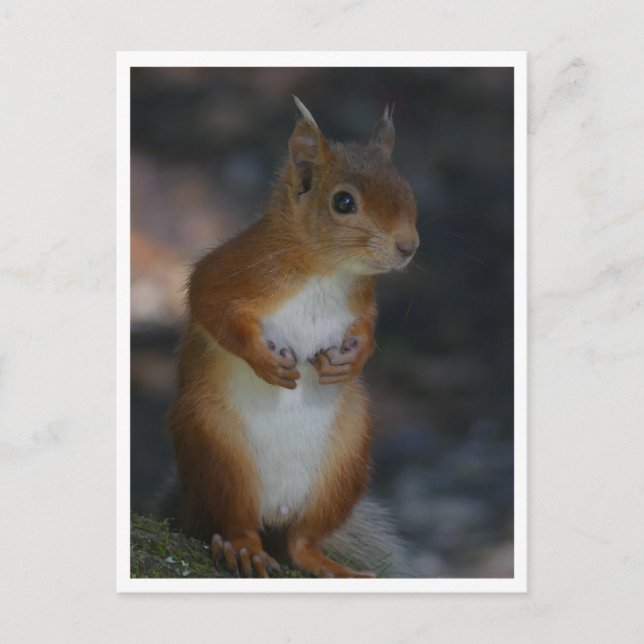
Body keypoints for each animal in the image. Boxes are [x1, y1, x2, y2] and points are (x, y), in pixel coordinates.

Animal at [168, 97, 419, 578]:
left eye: (407, 190)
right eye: (343, 202)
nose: (408, 246)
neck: (326, 271)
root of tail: (276, 509)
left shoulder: (361, 302)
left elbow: (367, 329)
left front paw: (352, 358)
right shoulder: (234, 270)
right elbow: (209, 305)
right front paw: (266, 360)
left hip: (345, 460)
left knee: (301, 542)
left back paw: (332, 566)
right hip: (218, 450)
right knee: (236, 522)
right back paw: (243, 549)